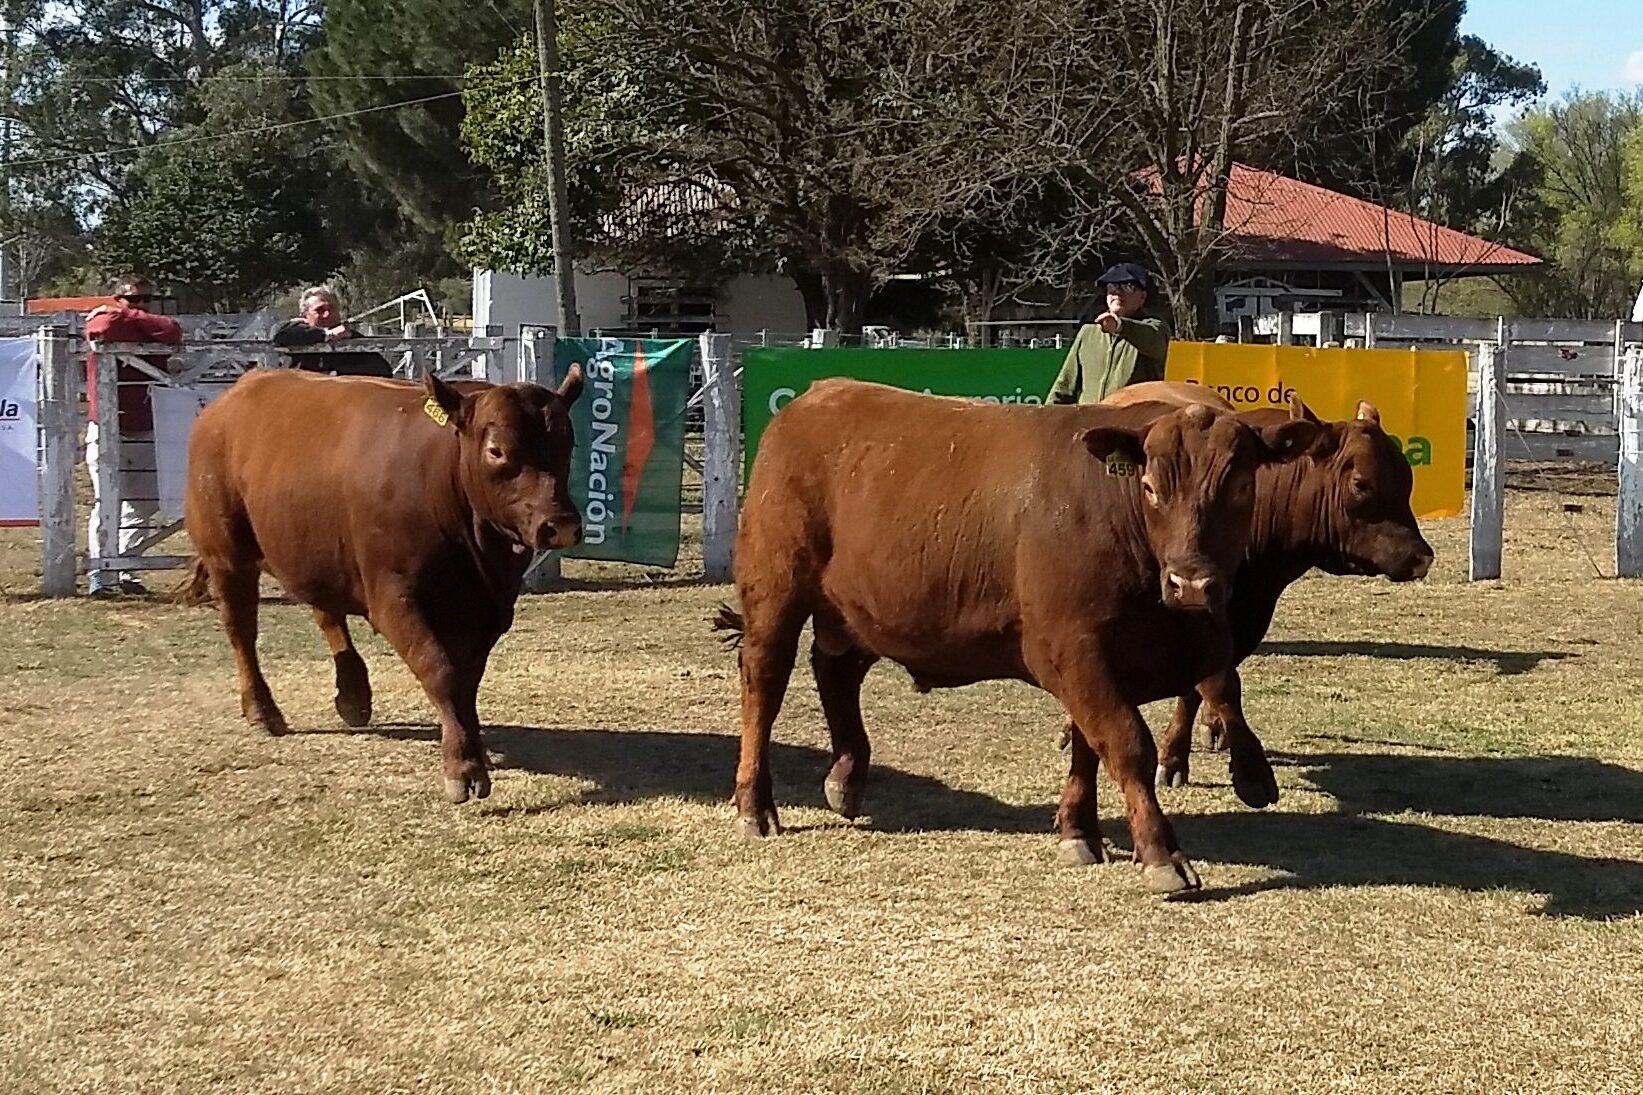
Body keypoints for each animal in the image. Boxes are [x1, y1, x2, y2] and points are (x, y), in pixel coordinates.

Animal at [181, 366, 584, 802]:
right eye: (497, 451)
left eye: (568, 443)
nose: (560, 524)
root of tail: (234, 395)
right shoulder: (394, 597)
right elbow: (441, 670)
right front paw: (463, 766)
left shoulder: (488, 606)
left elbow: (467, 680)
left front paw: (470, 745)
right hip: (227, 556)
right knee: (242, 630)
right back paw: (262, 710)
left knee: (326, 611)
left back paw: (354, 695)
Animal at [719, 379, 1320, 894]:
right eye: (1150, 487)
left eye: (1242, 486)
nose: (1192, 582)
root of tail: (819, 396)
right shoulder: (1071, 649)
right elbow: (1125, 743)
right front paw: (1161, 855)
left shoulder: (1111, 659)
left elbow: (1093, 742)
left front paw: (1079, 831)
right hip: (774, 593)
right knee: (764, 686)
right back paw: (755, 805)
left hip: (855, 609)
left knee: (837, 670)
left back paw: (845, 778)